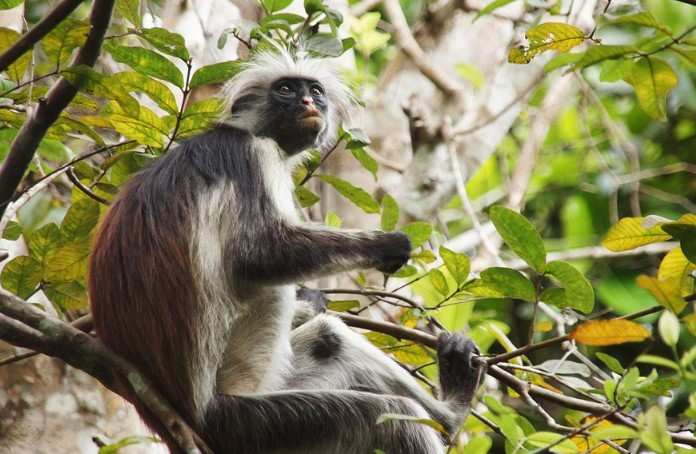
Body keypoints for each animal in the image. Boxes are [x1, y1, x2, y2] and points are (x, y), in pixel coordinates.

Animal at [88, 49, 484, 454]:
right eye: (286, 90)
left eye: (315, 91)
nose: (308, 103)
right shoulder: (253, 155)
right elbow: (259, 255)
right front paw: (387, 245)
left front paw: (311, 301)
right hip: (247, 420)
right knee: (390, 413)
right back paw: (448, 414)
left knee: (329, 339)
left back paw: (449, 413)